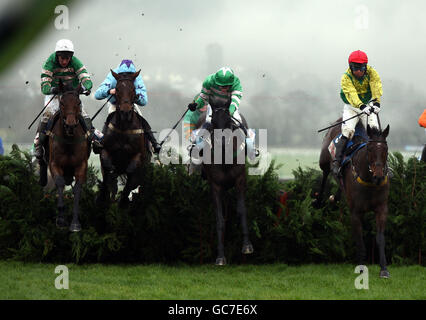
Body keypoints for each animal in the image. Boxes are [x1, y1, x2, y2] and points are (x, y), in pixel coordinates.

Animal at [45, 84, 90, 231]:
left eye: (78, 102)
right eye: (62, 103)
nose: (70, 125)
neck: (69, 141)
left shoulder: (81, 165)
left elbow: (77, 188)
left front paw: (75, 223)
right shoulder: (54, 164)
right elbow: (59, 183)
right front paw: (61, 218)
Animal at [196, 97, 253, 264]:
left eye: (228, 121)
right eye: (214, 122)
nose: (221, 142)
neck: (225, 159)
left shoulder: (240, 179)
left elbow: (242, 210)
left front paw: (247, 246)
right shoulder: (215, 185)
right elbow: (219, 219)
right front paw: (220, 256)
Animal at [316, 120, 390, 278]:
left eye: (385, 150)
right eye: (369, 149)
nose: (379, 176)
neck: (369, 180)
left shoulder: (381, 209)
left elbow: (380, 238)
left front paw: (384, 269)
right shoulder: (355, 212)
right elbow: (359, 239)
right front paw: (361, 268)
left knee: (338, 183)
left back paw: (335, 197)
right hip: (324, 160)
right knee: (325, 173)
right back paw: (318, 201)